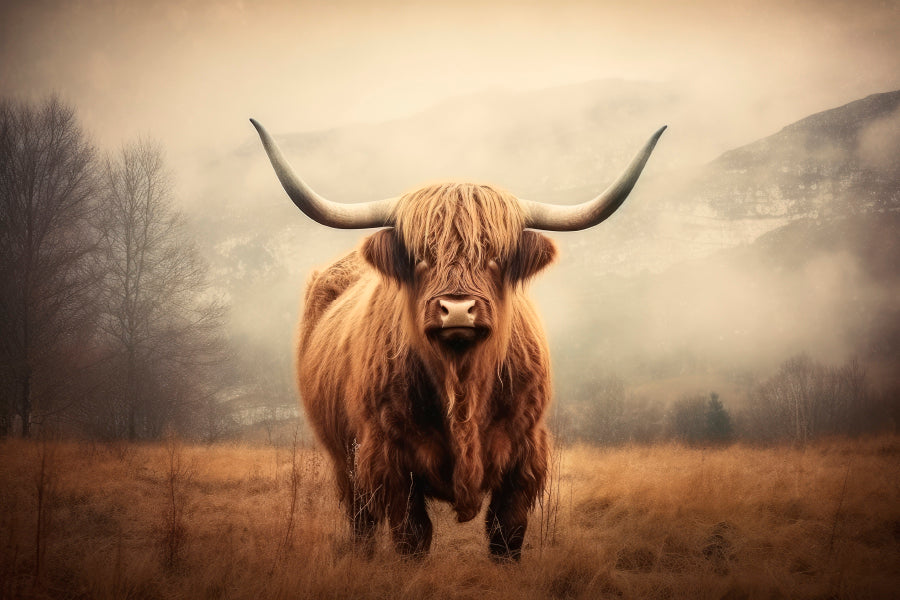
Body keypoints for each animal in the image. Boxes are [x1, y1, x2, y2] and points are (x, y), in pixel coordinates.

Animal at [250, 119, 665, 560]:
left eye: (496, 256)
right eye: (420, 256)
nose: (458, 309)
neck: (462, 383)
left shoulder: (525, 458)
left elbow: (506, 536)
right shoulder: (386, 460)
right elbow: (411, 536)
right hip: (343, 460)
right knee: (361, 520)